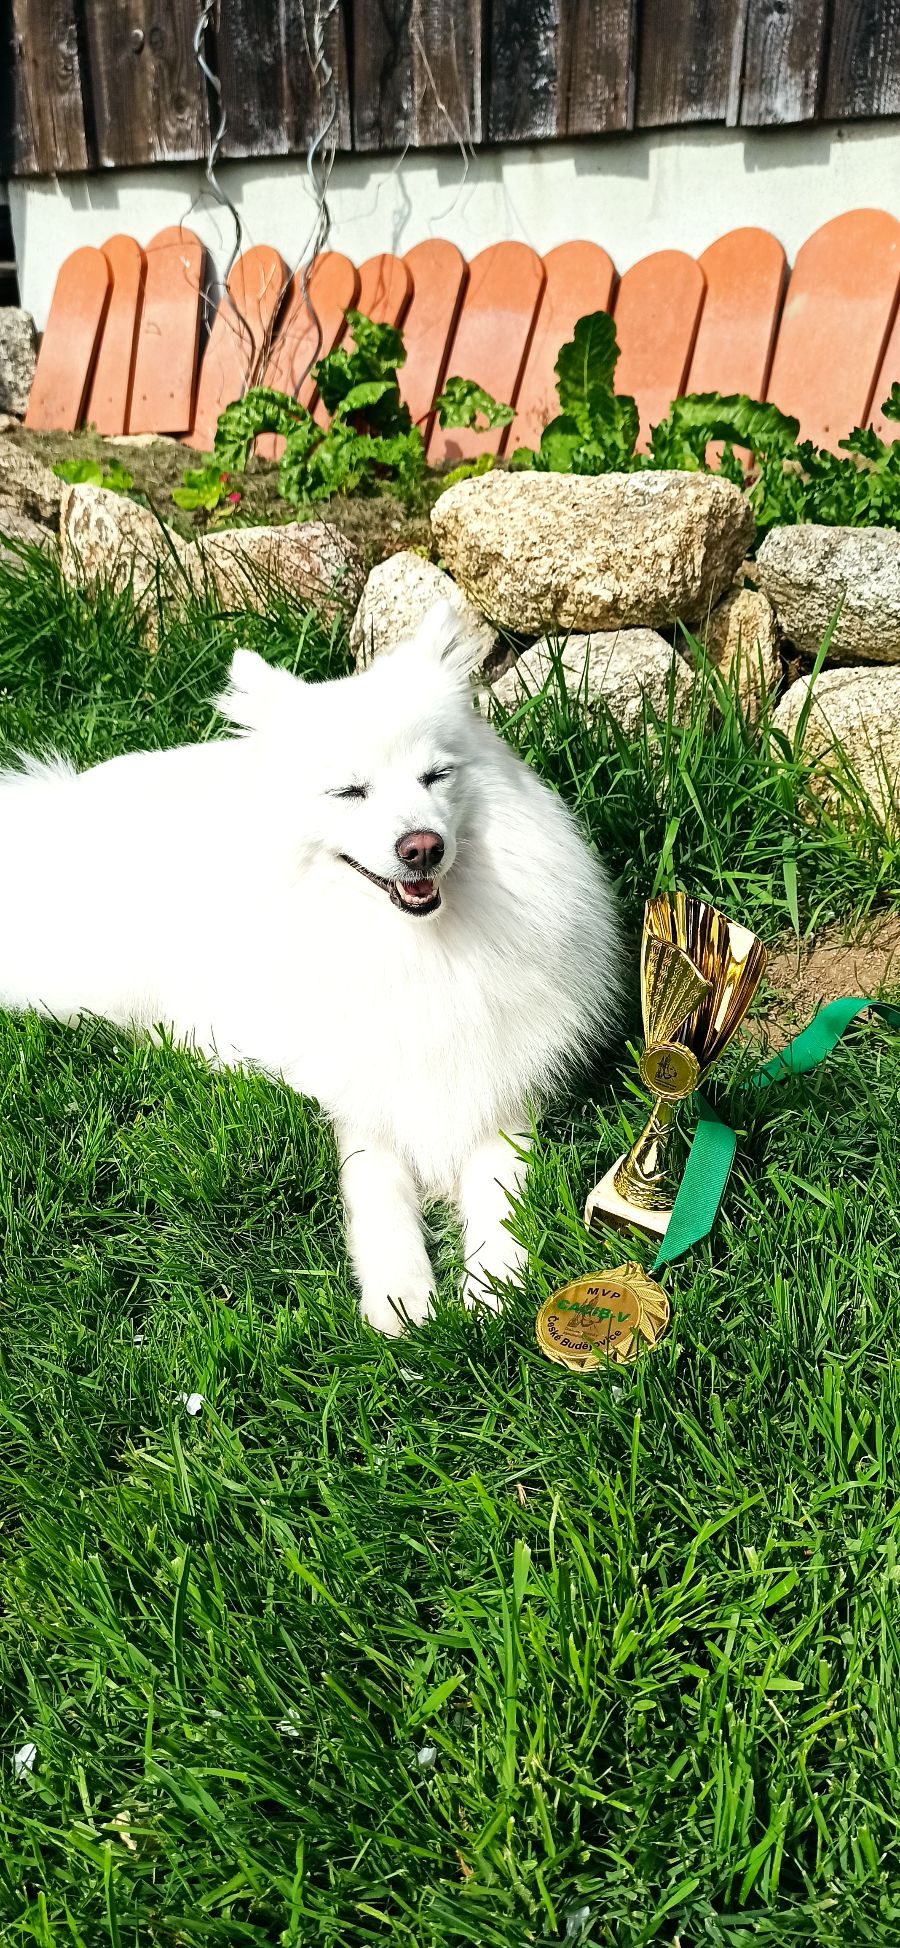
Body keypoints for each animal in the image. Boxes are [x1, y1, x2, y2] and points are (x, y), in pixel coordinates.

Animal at [0, 601, 619, 1334]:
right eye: (349, 792)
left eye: (436, 777)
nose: (422, 847)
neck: (414, 949)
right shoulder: (363, 1099)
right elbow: (377, 1194)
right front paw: (401, 1299)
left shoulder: (497, 1086)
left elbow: (502, 1189)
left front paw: (494, 1284)